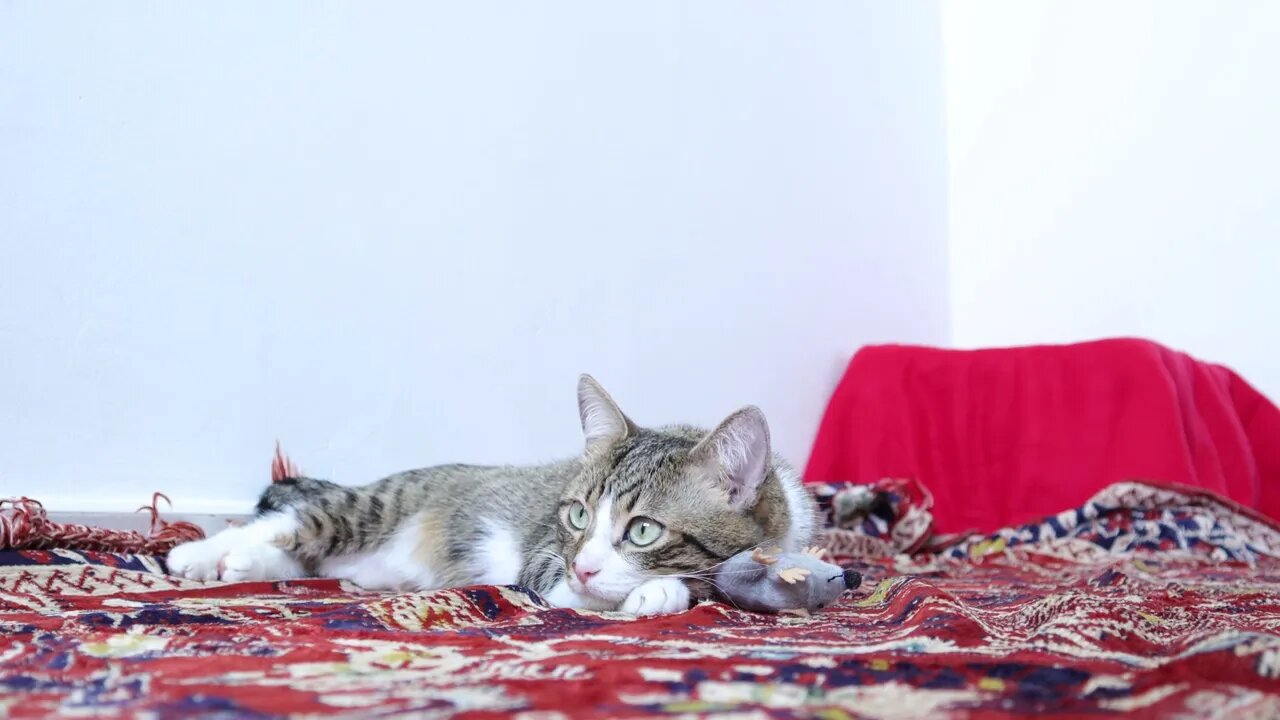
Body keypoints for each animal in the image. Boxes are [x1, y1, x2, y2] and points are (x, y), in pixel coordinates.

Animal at [165, 371, 814, 614]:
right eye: (578, 516)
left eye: (643, 529)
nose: (584, 565)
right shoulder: (545, 564)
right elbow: (570, 590)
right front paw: (661, 592)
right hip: (376, 505)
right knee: (295, 520)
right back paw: (200, 555)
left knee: (312, 560)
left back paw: (242, 565)